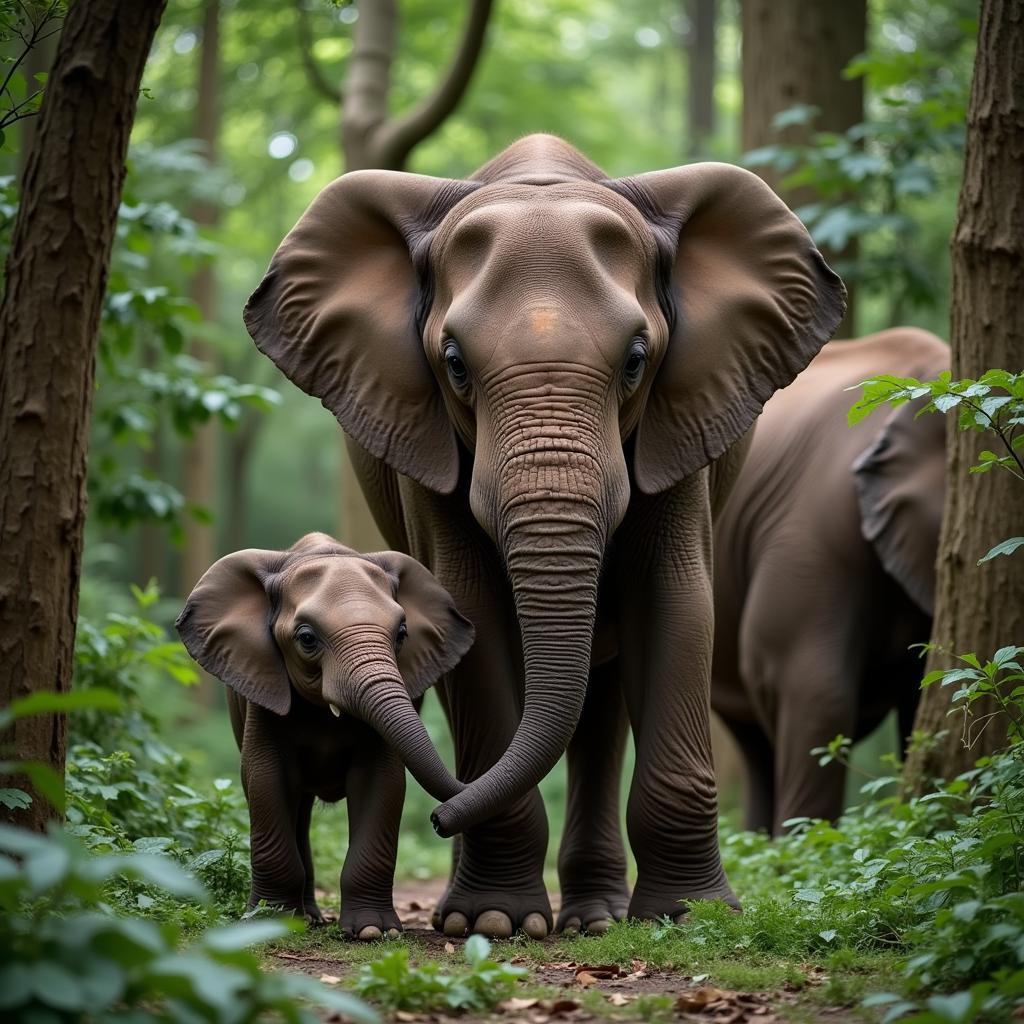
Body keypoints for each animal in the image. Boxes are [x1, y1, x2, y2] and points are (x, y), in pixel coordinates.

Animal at [177, 532, 475, 937]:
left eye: (401, 634)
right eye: (306, 639)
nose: (438, 820)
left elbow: (382, 781)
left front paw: (372, 931)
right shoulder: (263, 687)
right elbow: (265, 778)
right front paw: (271, 924)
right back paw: (308, 918)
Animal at [243, 134, 843, 937]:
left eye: (637, 360)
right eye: (454, 365)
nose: (438, 818)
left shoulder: (685, 423)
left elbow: (675, 603)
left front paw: (688, 918)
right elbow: (471, 611)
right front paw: (494, 922)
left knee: (601, 699)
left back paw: (596, 920)